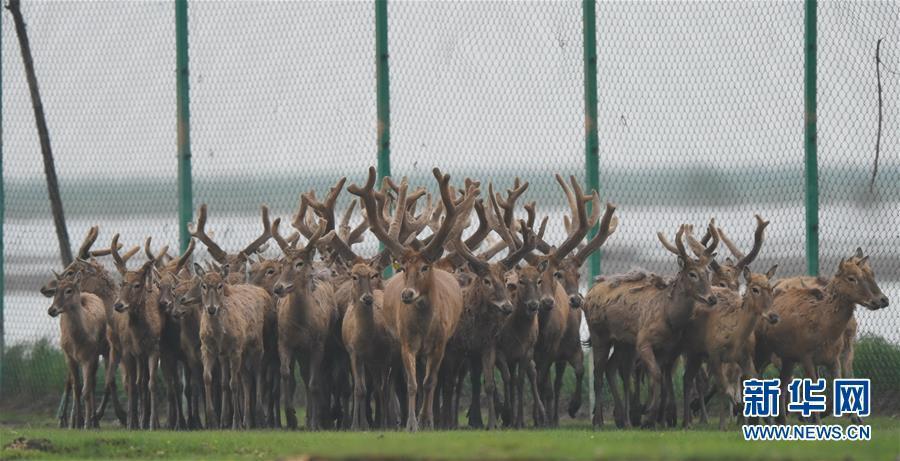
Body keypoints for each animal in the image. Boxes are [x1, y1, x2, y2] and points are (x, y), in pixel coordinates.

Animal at [48, 272, 107, 430]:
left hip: (101, 351)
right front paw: (76, 424)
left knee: (93, 384)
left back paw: (95, 422)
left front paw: (86, 424)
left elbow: (86, 390)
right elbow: (77, 388)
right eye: (55, 290)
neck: (77, 341)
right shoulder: (69, 356)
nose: (51, 310)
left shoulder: (90, 356)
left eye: (69, 290)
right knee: (74, 384)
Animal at [346, 166, 478, 432]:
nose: (407, 294)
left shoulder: (440, 344)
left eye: (425, 267)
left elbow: (430, 382)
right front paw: (411, 423)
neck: (425, 326)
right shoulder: (407, 342)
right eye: (405, 267)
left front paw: (428, 421)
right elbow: (411, 383)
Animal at [756, 250, 888, 422]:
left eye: (871, 273)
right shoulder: (805, 356)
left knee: (781, 386)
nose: (881, 300)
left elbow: (842, 381)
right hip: (764, 351)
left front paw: (856, 418)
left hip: (787, 359)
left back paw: (780, 421)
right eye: (851, 278)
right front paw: (814, 420)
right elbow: (814, 392)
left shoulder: (835, 357)